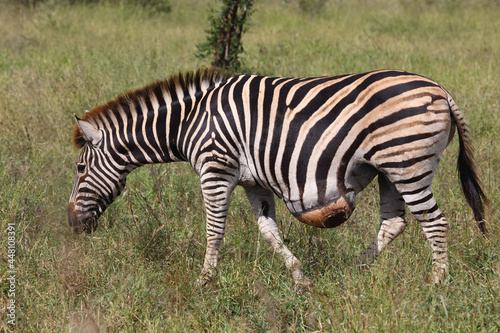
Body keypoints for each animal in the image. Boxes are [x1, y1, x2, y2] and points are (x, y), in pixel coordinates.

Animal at [68, 67, 486, 288]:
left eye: (79, 168)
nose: (72, 225)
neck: (191, 121)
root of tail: (440, 89)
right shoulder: (254, 182)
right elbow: (268, 231)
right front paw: (300, 279)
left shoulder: (215, 169)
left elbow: (214, 230)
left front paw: (205, 282)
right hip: (389, 169)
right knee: (394, 222)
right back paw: (353, 271)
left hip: (408, 165)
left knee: (435, 223)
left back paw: (438, 283)